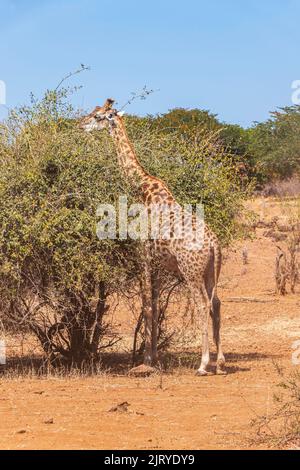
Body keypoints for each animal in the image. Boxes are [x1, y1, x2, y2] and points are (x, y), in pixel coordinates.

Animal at [78, 98, 226, 374]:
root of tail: (214, 245)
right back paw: (221, 362)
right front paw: (153, 358)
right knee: (217, 303)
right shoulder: (157, 262)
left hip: (191, 271)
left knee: (203, 304)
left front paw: (145, 361)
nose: (80, 125)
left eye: (98, 116)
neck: (143, 191)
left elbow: (147, 305)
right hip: (212, 270)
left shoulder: (144, 254)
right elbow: (155, 306)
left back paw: (203, 364)